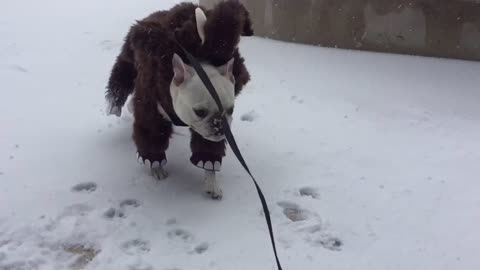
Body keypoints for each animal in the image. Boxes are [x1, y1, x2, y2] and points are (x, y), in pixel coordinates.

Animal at [104, 1, 253, 199]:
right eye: (199, 112)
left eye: (231, 110)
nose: (220, 127)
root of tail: (158, 13)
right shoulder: (152, 110)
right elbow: (151, 135)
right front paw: (156, 166)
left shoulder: (207, 134)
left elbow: (208, 152)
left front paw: (212, 181)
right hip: (130, 55)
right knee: (123, 70)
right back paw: (115, 102)